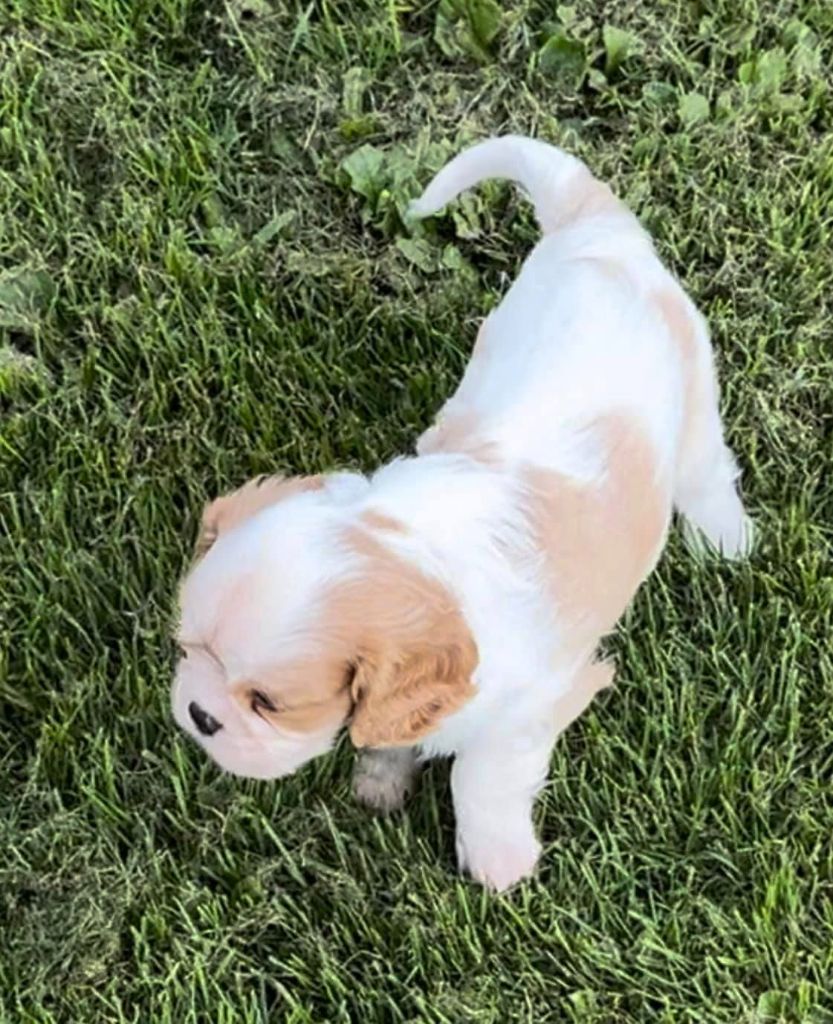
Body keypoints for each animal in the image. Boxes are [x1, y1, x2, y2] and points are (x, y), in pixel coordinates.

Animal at [171, 136, 753, 890]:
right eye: (187, 651)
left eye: (267, 704)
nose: (198, 715)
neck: (412, 548)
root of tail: (594, 227)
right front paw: (382, 777)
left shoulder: (527, 709)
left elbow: (481, 778)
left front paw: (496, 859)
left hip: (694, 400)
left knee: (707, 472)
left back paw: (726, 542)